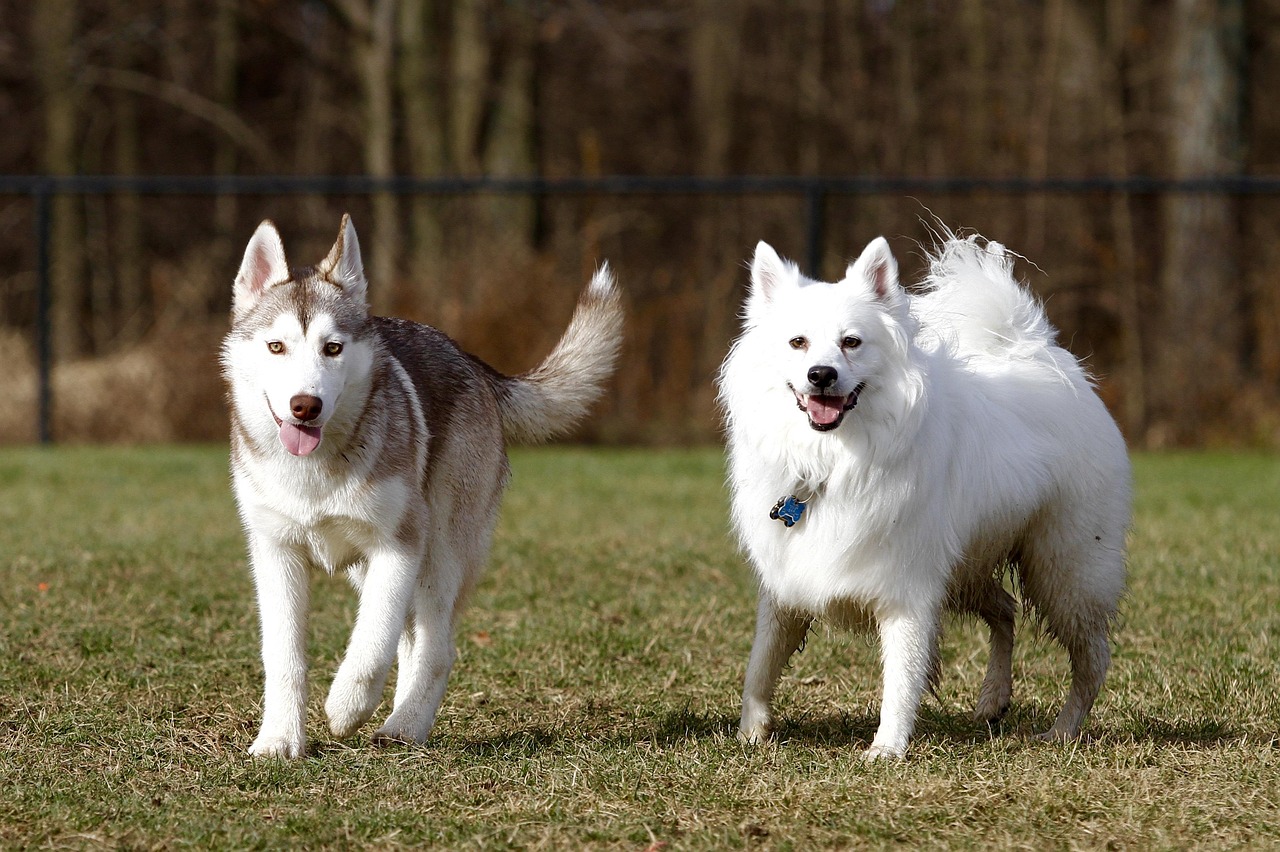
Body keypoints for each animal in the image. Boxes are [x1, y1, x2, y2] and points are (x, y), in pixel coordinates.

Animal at [721, 230, 1131, 757]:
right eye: (798, 342)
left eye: (851, 342)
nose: (821, 374)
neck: (832, 460)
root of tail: (1043, 357)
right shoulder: (786, 582)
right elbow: (761, 663)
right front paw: (750, 733)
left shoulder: (907, 590)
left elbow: (901, 673)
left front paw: (887, 748)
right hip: (970, 568)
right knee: (1006, 610)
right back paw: (994, 699)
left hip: (1064, 572)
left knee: (1092, 659)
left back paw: (1062, 730)